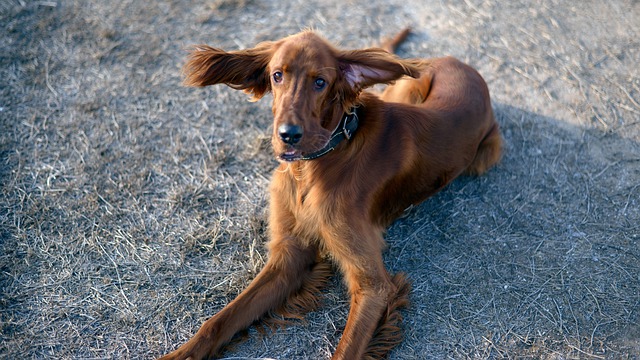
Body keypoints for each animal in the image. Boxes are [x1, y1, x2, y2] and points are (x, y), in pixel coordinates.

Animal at [160, 28, 500, 360]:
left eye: (320, 82)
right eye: (277, 75)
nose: (288, 135)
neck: (319, 161)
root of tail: (458, 62)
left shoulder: (373, 287)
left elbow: (346, 348)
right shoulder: (289, 255)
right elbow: (220, 321)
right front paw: (179, 354)